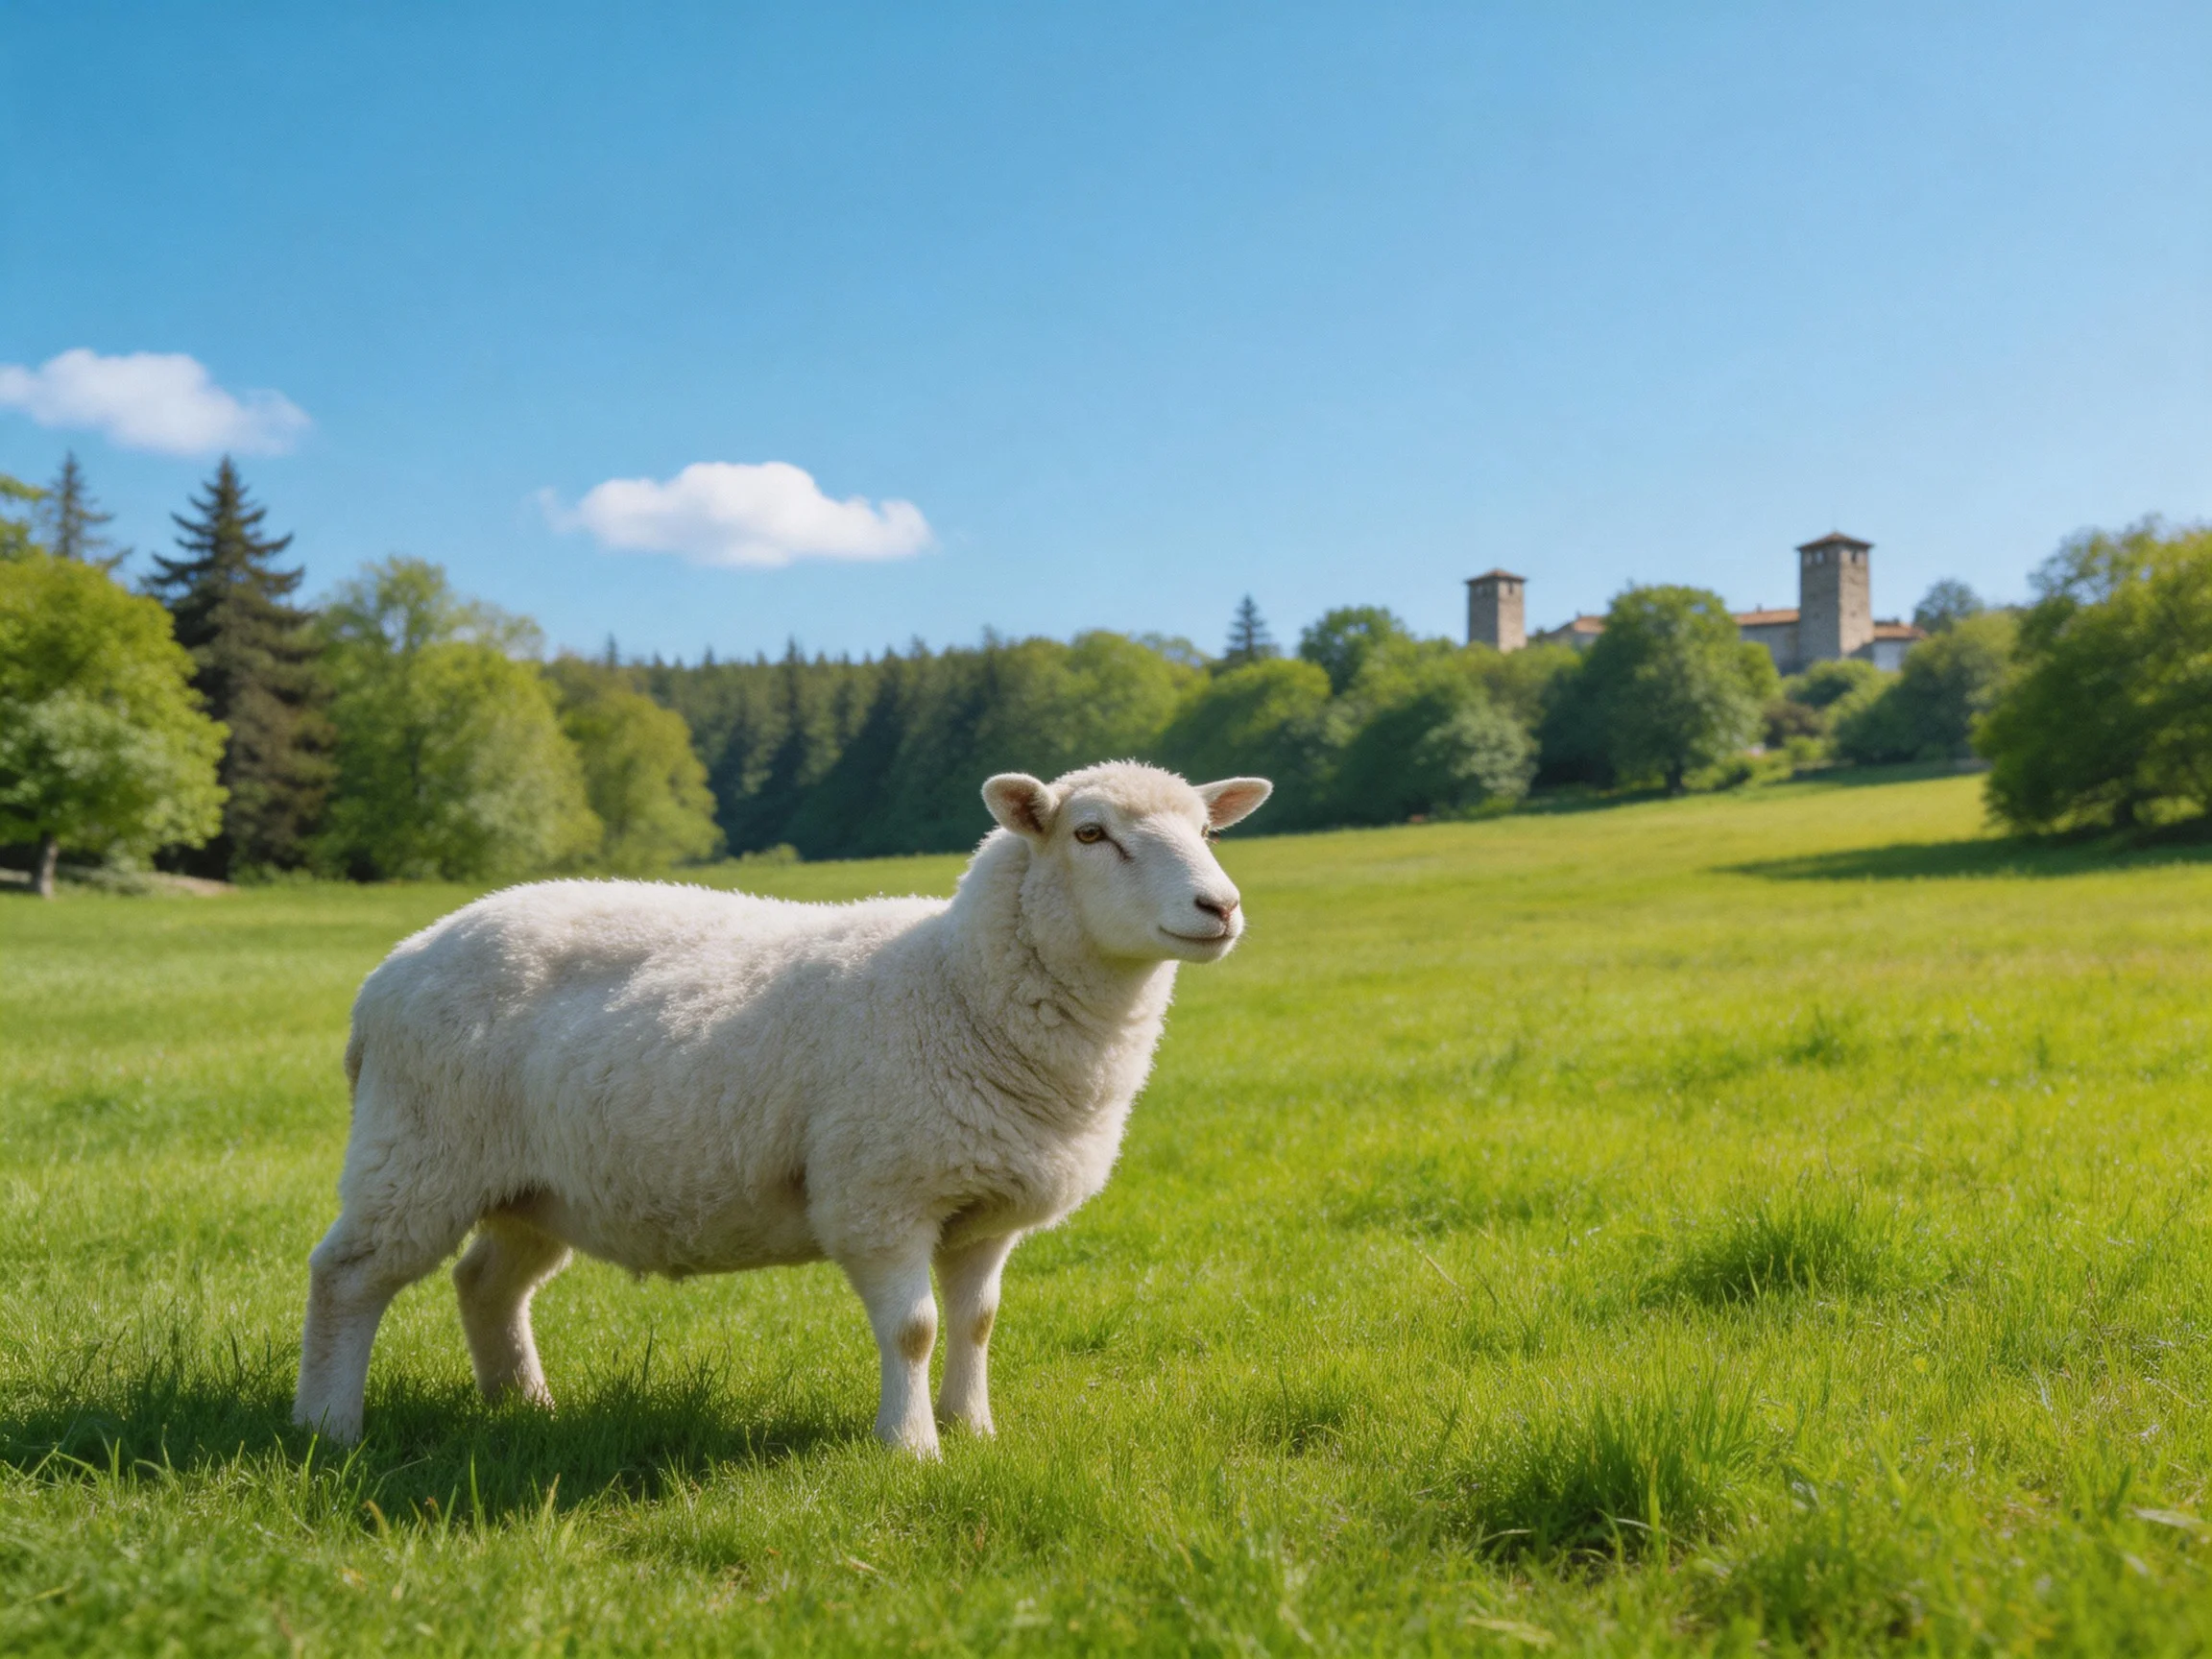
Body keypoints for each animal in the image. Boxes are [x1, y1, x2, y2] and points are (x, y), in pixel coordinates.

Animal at [292, 761, 1272, 1455]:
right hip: (417, 1152)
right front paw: (911, 1448)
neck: (954, 984)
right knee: (347, 1276)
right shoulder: (879, 1193)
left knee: (486, 1283)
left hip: (533, 1183)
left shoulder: (986, 1205)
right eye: (1092, 833)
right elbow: (915, 1329)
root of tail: (390, 972)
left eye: (1204, 830)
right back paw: (328, 1425)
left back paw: (524, 1404)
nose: (1220, 906)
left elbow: (977, 1323)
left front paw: (974, 1430)